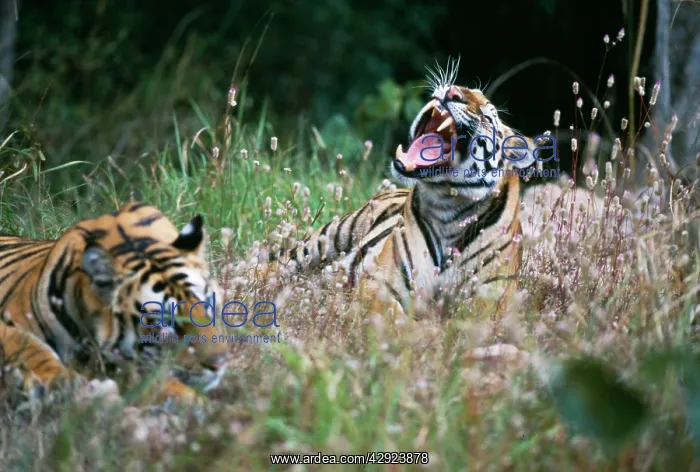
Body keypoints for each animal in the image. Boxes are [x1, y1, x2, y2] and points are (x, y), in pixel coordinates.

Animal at [256, 61, 551, 320]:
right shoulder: (382, 287)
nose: (453, 91)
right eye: (464, 89)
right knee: (277, 263)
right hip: (330, 235)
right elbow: (398, 324)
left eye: (487, 116)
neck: (448, 207)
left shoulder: (485, 306)